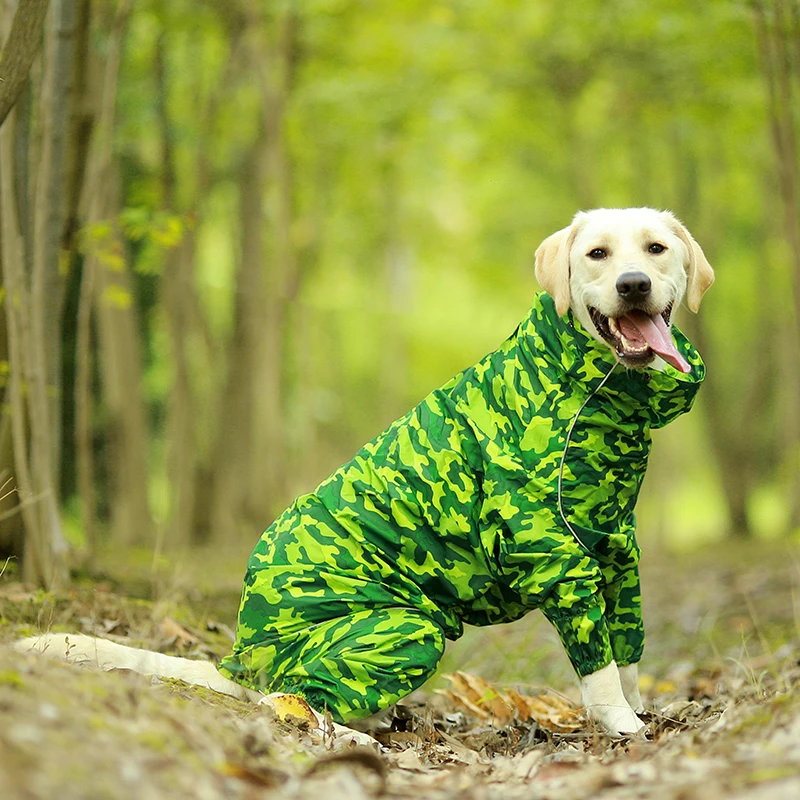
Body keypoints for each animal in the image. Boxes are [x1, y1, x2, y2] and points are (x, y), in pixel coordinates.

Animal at [14, 206, 712, 736]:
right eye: (596, 254)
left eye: (655, 249)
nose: (633, 285)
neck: (585, 388)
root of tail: (239, 658)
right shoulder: (555, 557)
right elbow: (598, 662)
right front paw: (622, 726)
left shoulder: (616, 549)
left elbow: (628, 647)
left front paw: (641, 708)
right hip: (405, 629)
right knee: (289, 701)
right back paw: (351, 736)